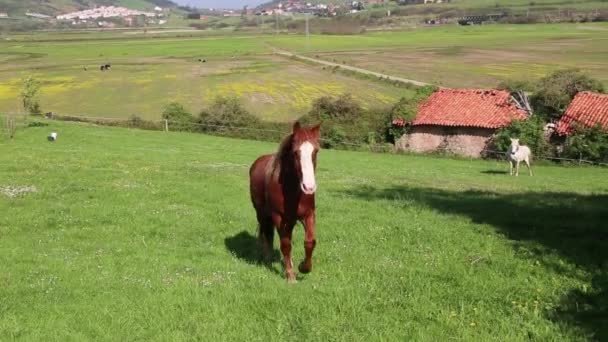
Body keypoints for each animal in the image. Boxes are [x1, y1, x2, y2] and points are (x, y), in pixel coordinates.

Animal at [248, 121, 320, 282]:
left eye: (316, 151)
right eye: (295, 152)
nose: (309, 187)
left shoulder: (308, 214)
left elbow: (310, 242)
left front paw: (304, 267)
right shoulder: (278, 216)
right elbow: (285, 244)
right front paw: (290, 275)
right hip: (263, 214)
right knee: (268, 234)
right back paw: (268, 258)